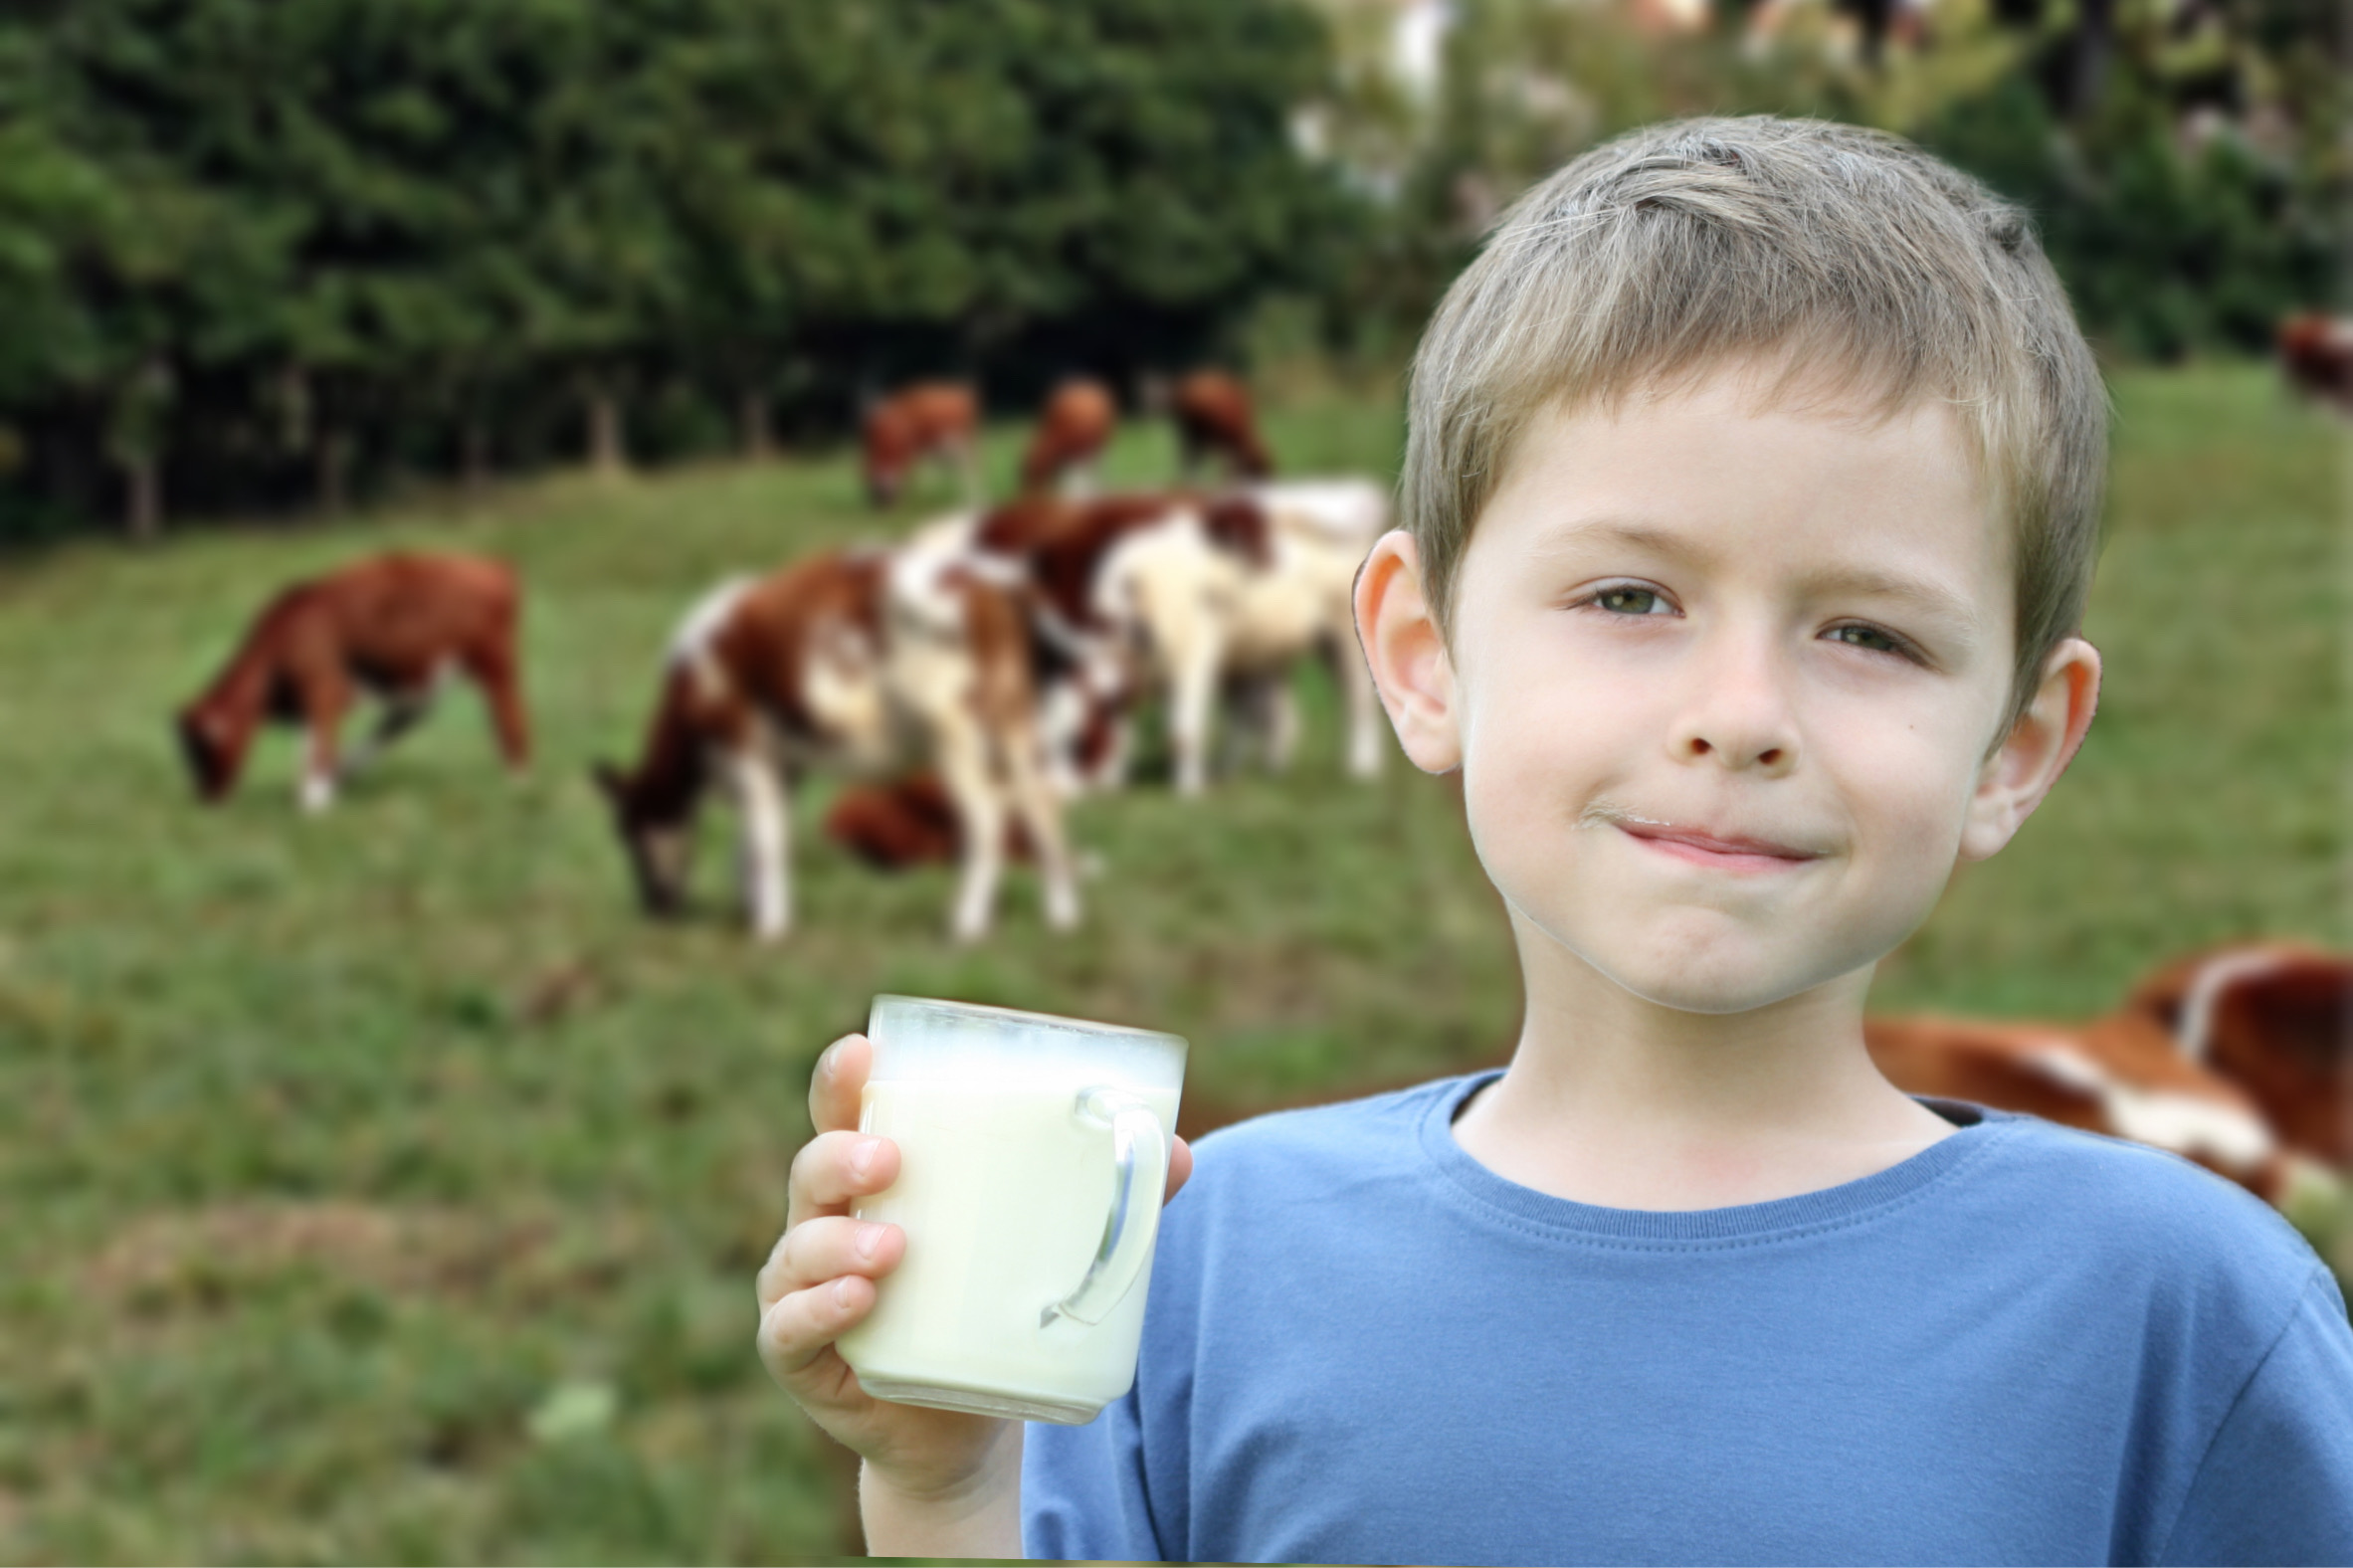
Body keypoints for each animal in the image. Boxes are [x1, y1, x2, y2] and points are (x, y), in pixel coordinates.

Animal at [171, 548, 531, 805]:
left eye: (200, 751)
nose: (204, 799)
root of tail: (495, 567)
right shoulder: (309, 699)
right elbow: (308, 744)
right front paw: (316, 786)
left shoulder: (325, 688)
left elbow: (318, 743)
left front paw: (313, 800)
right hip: (426, 677)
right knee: (404, 718)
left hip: (494, 665)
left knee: (510, 716)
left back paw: (518, 783)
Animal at [592, 548, 1078, 941]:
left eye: (628, 833)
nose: (654, 908)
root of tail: (986, 581)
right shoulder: (783, 761)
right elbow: (755, 839)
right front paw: (753, 909)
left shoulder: (742, 741)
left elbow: (764, 837)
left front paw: (769, 929)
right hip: (1012, 714)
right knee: (1040, 804)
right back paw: (1062, 918)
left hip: (950, 728)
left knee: (986, 817)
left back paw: (966, 926)